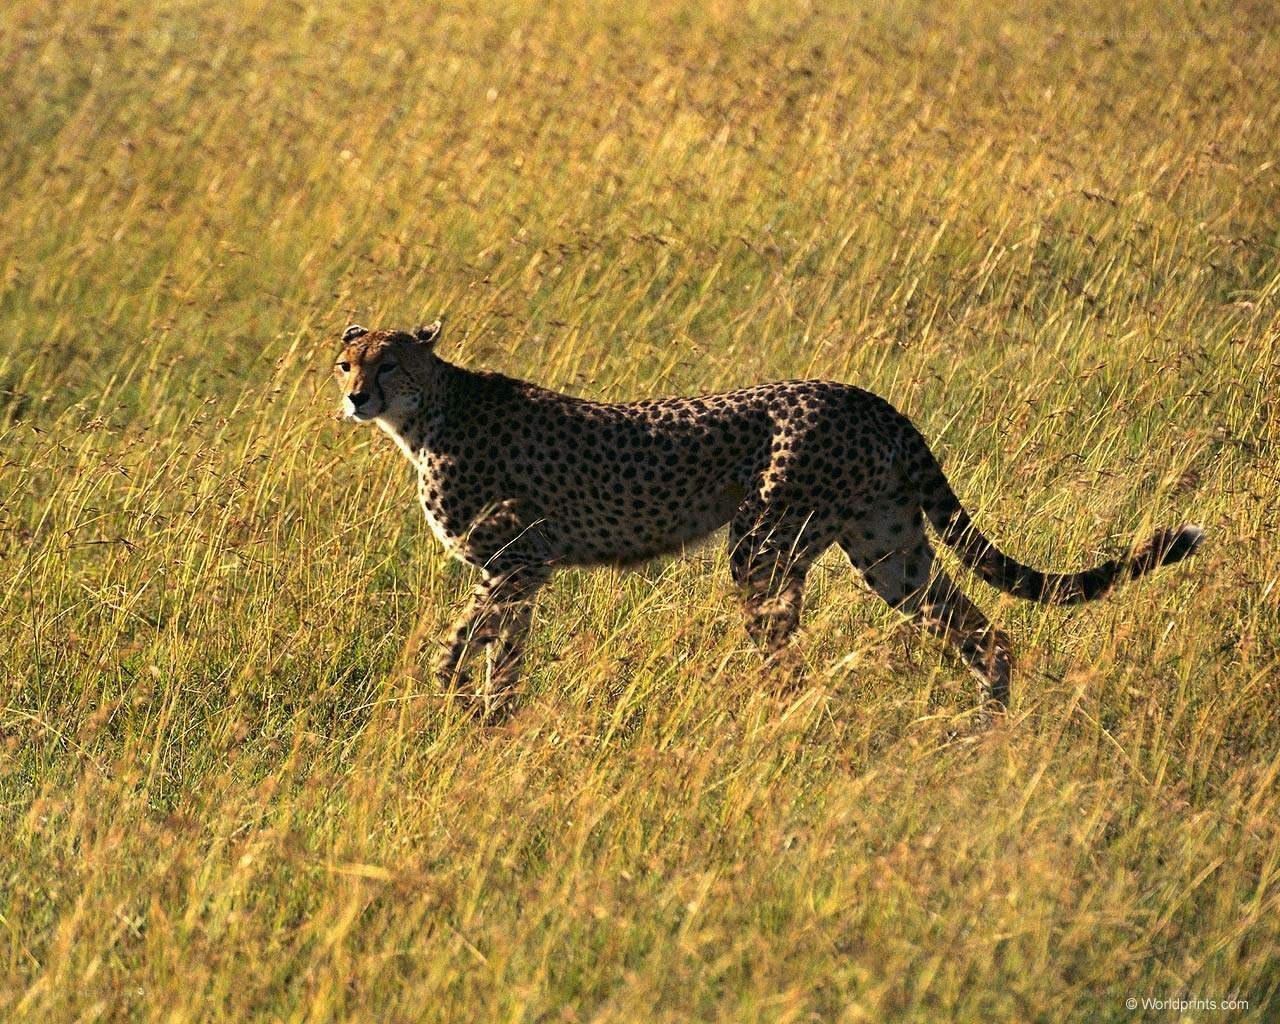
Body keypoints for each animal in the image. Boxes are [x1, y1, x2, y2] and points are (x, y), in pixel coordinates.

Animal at [333, 320, 1204, 722]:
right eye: (347, 361)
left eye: (391, 363)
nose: (355, 397)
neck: (428, 413)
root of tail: (864, 395)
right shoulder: (520, 571)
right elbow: (501, 650)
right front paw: (490, 719)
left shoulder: (522, 557)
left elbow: (465, 631)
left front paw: (449, 694)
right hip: (889, 549)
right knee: (984, 631)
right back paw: (983, 726)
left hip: (766, 545)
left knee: (786, 658)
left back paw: (765, 725)